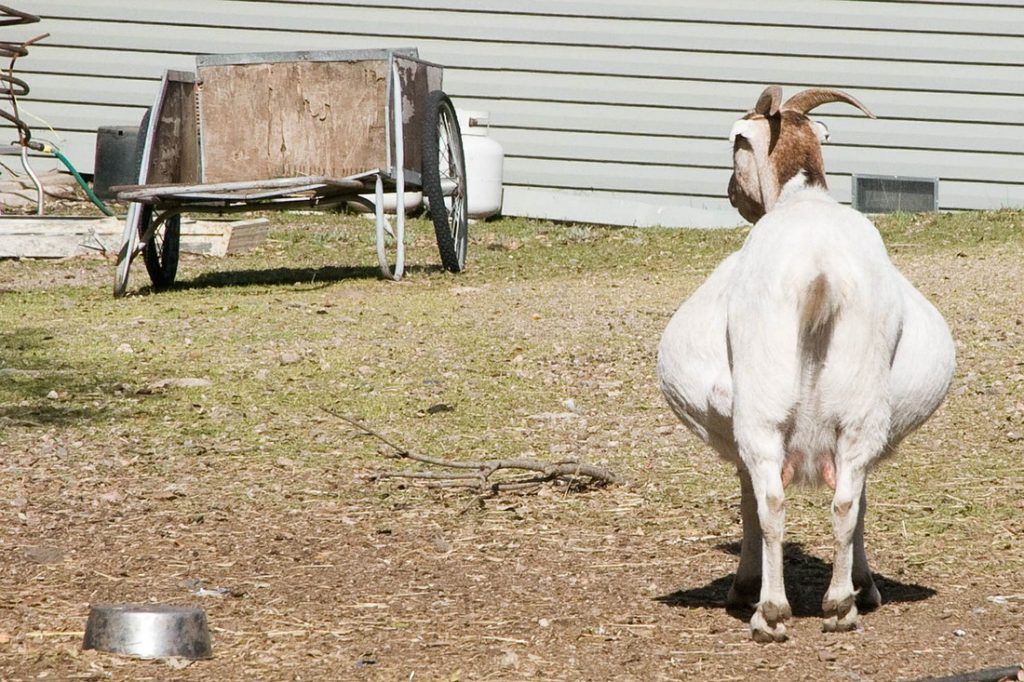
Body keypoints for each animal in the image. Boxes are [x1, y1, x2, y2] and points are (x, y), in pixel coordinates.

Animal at [659, 84, 954, 638]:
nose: (732, 194)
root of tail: (820, 272)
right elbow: (860, 501)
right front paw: (866, 587)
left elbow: (751, 500)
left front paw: (744, 587)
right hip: (860, 407)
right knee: (846, 502)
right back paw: (840, 606)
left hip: (762, 406)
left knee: (773, 502)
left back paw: (770, 613)